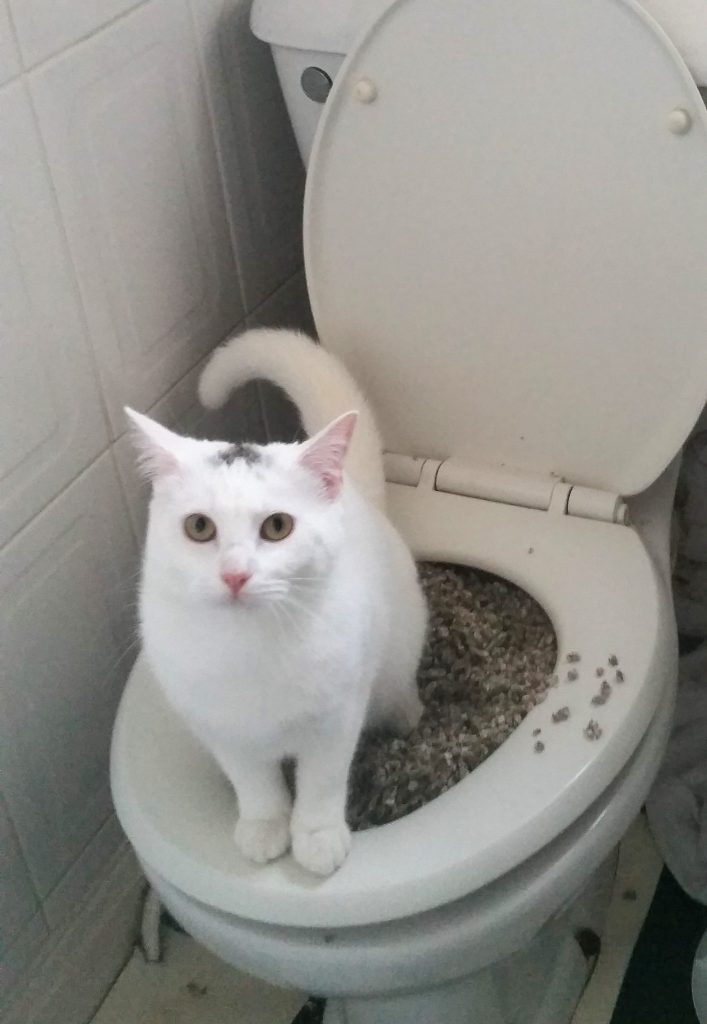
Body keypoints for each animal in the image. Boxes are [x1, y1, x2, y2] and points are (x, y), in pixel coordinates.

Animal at [126, 331, 424, 876]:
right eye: (198, 527)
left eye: (278, 526)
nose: (235, 574)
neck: (250, 648)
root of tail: (356, 494)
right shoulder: (220, 728)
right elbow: (253, 782)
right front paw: (264, 827)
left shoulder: (336, 718)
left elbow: (322, 782)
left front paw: (316, 837)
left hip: (395, 649)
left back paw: (407, 714)